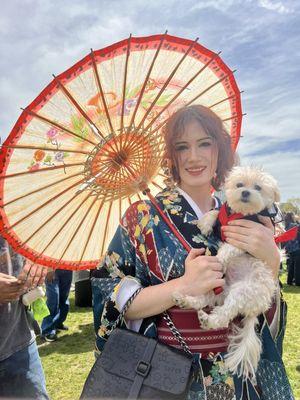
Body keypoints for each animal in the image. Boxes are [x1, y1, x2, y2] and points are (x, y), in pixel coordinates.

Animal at [173, 167, 278, 380]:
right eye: (239, 184)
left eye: (258, 187)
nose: (245, 192)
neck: (238, 213)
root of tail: (256, 309)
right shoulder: (223, 218)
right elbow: (215, 211)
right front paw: (205, 223)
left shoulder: (244, 239)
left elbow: (228, 248)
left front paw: (219, 259)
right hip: (217, 287)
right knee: (204, 299)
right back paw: (185, 301)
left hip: (243, 291)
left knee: (224, 315)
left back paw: (208, 320)